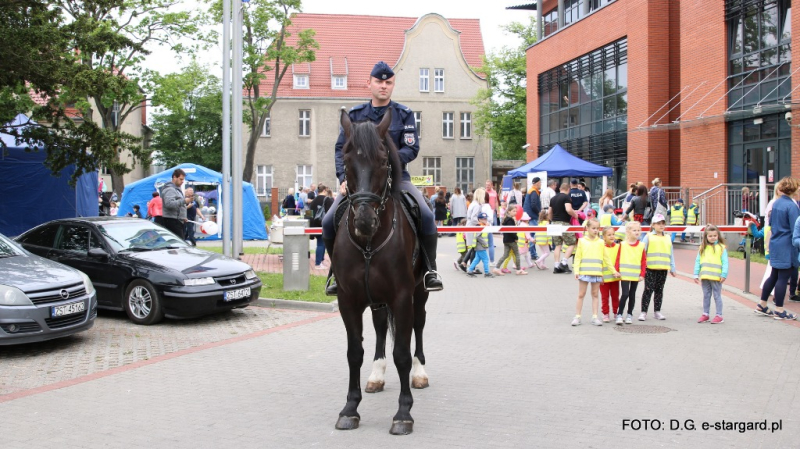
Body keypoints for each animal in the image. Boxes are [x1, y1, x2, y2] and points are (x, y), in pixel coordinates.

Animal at [332, 106, 432, 434]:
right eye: (347, 159)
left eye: (384, 160)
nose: (364, 221)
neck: (368, 243)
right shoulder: (348, 300)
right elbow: (354, 352)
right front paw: (350, 408)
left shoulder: (401, 296)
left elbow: (402, 352)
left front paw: (403, 413)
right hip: (375, 299)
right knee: (378, 328)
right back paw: (376, 375)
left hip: (419, 293)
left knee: (419, 326)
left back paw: (420, 372)